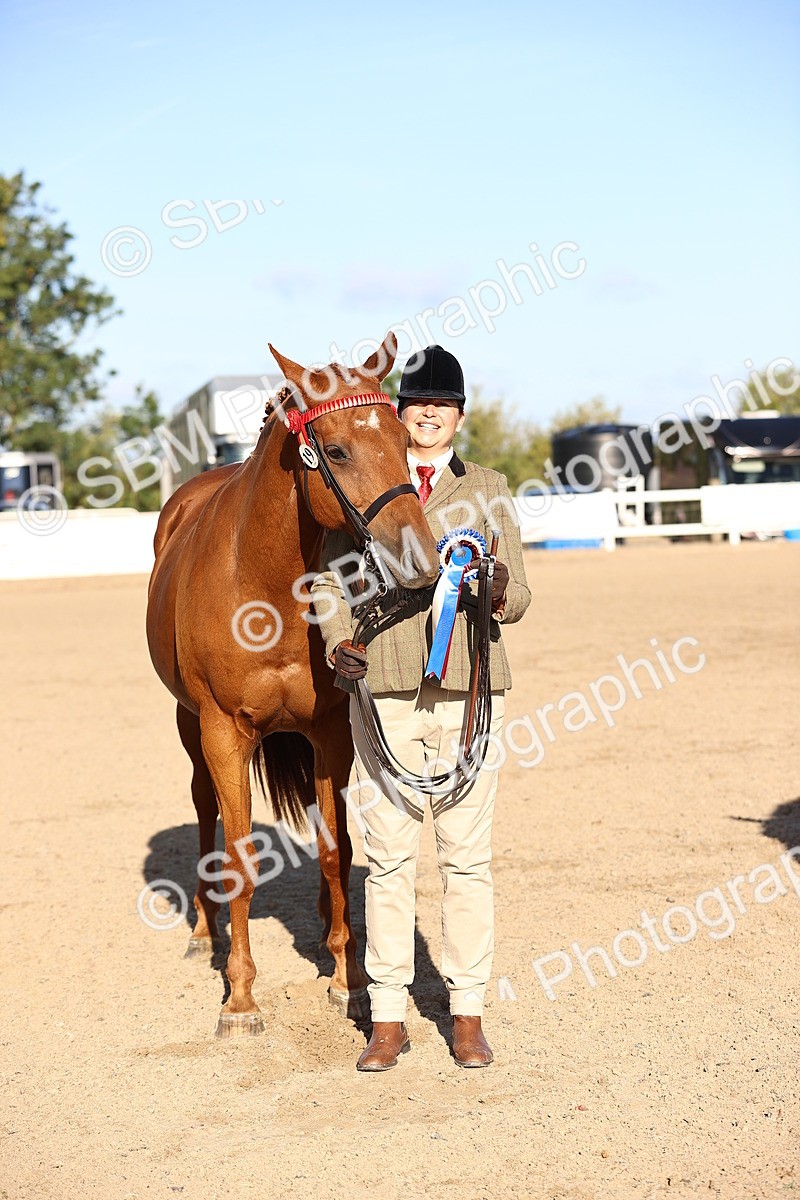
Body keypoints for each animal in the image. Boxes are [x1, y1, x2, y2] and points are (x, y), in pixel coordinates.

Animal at [146, 332, 439, 1037]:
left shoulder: (331, 731)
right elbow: (239, 859)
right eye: (335, 450)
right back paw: (203, 931)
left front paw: (345, 978)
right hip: (189, 726)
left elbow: (337, 851)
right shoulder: (224, 733)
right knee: (204, 813)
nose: (423, 558)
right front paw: (240, 998)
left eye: (404, 436)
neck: (266, 590)